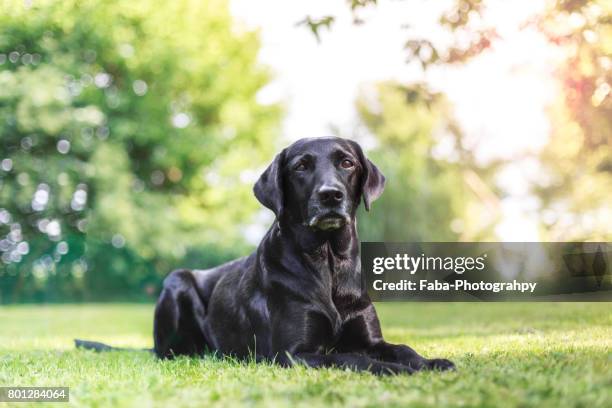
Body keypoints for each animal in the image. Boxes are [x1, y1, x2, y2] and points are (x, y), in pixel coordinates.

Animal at [76, 137, 454, 376]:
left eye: (347, 163)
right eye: (301, 166)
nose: (330, 195)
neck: (327, 262)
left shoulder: (370, 338)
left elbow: (402, 348)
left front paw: (430, 362)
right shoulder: (294, 354)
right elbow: (353, 359)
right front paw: (395, 370)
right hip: (177, 281)